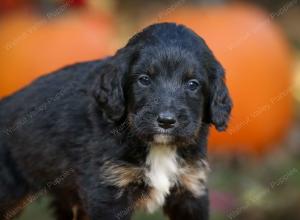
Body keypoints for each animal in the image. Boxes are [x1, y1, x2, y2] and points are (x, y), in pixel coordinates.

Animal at [0, 23, 232, 219]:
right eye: (144, 80)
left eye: (193, 84)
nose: (166, 121)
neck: (157, 147)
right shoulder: (108, 192)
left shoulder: (191, 187)